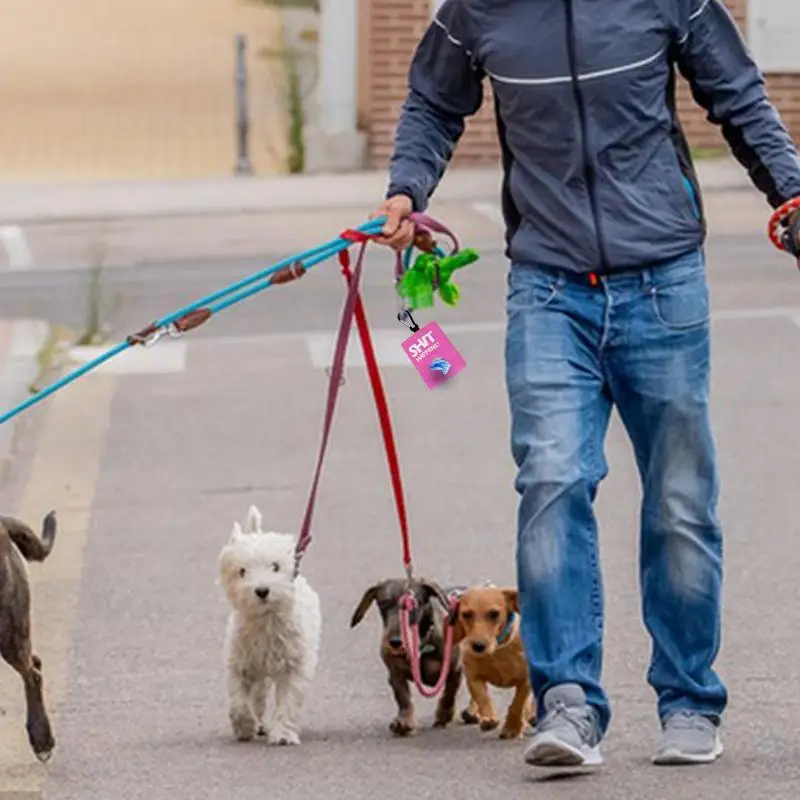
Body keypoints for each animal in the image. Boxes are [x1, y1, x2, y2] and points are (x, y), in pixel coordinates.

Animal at [219, 506, 322, 744]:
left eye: (275, 566)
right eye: (242, 571)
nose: (262, 591)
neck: (267, 620)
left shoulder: (295, 665)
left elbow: (289, 701)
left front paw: (283, 734)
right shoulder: (240, 662)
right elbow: (238, 700)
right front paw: (245, 727)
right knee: (258, 695)